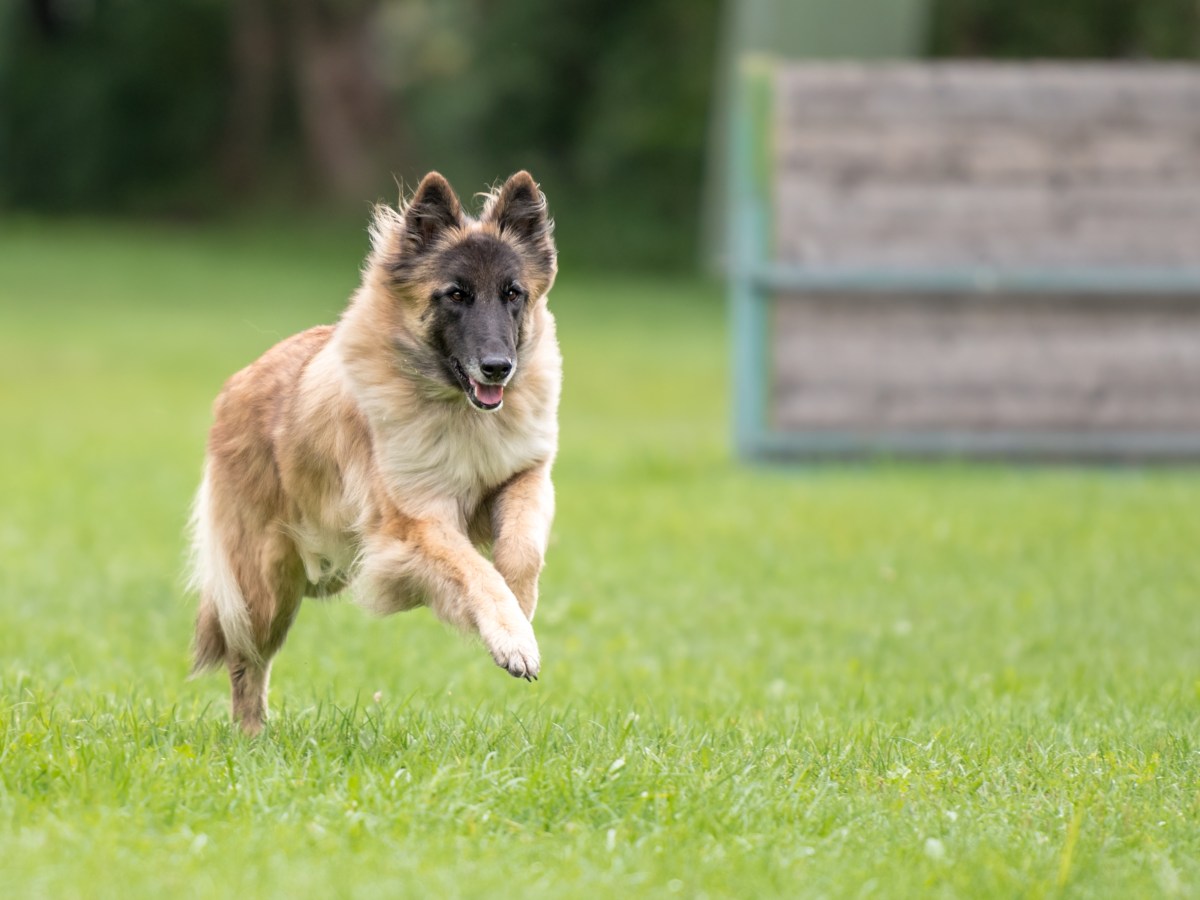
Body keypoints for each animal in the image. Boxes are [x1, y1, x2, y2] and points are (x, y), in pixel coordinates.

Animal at [188, 172, 561, 734]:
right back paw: (251, 737)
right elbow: (474, 570)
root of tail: (237, 383)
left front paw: (520, 612)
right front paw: (511, 637)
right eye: (457, 294)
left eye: (512, 293)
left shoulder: (523, 475)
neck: (457, 411)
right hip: (266, 586)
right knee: (245, 662)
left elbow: (519, 550)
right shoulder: (416, 522)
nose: (499, 367)